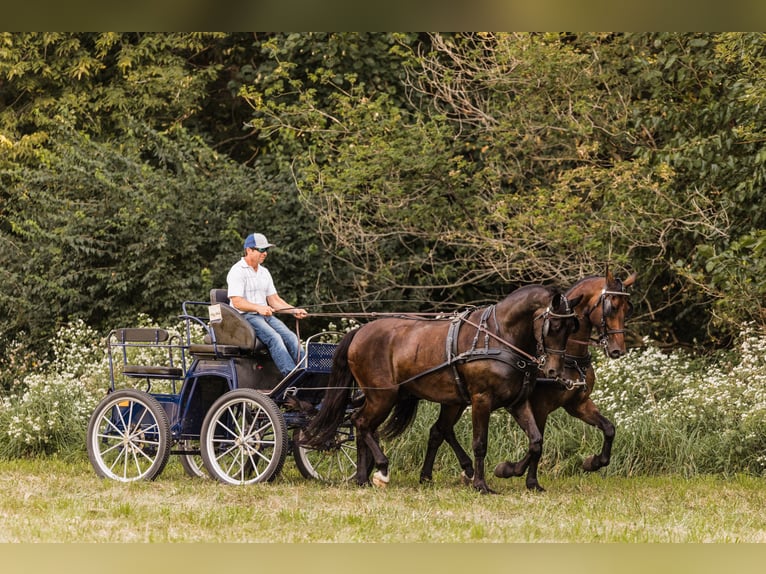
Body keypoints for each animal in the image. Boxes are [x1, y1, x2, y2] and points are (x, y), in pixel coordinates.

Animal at [302, 284, 582, 493]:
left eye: (572, 327)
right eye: (555, 326)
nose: (554, 371)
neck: (499, 337)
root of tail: (359, 331)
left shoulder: (517, 402)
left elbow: (536, 441)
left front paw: (523, 478)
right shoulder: (481, 400)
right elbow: (480, 443)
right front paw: (481, 485)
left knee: (370, 426)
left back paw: (363, 477)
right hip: (383, 396)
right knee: (361, 423)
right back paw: (381, 469)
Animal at [413, 270, 636, 488]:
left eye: (627, 308)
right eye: (611, 307)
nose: (618, 350)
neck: (571, 360)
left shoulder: (577, 404)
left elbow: (609, 429)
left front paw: (594, 462)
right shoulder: (539, 406)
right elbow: (537, 442)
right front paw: (514, 472)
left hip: (457, 400)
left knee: (440, 430)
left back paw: (441, 473)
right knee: (442, 430)